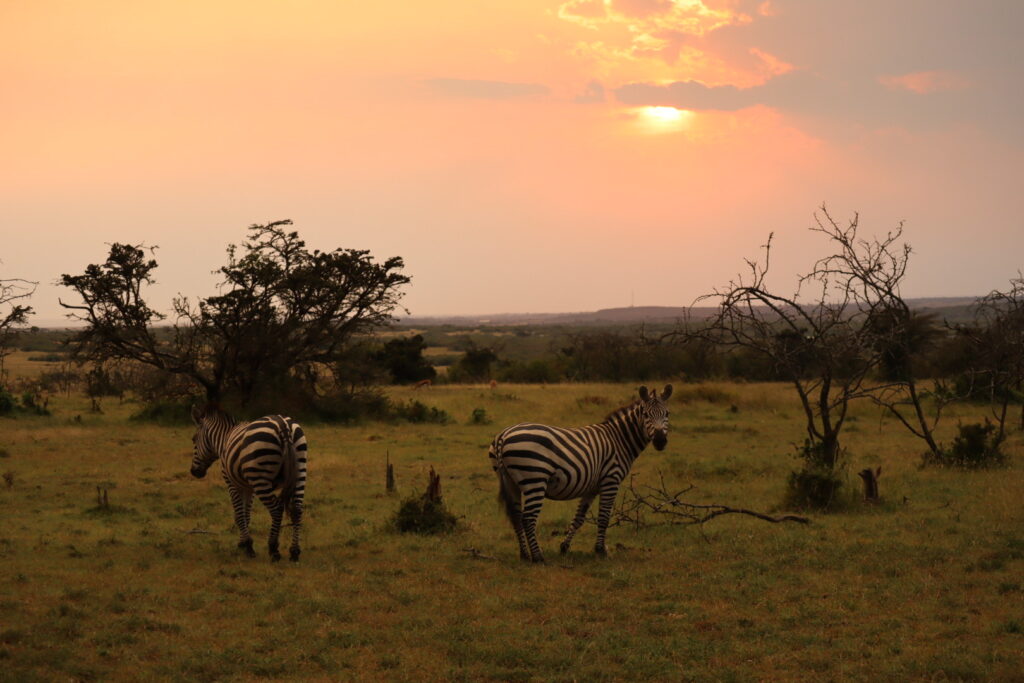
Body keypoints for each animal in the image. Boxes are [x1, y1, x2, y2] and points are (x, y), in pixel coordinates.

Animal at [189, 405, 307, 561]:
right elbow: (246, 515)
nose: (194, 472)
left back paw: (273, 549)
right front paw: (242, 543)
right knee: (297, 509)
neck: (224, 440)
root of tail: (283, 424)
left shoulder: (232, 483)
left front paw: (248, 546)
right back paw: (294, 551)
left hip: (261, 477)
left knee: (276, 509)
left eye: (194, 440)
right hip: (300, 471)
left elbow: (239, 515)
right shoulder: (248, 487)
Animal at [487, 382, 671, 565]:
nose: (660, 441)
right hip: (535, 480)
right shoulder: (611, 480)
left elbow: (579, 518)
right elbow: (604, 517)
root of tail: (503, 436)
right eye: (646, 414)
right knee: (528, 518)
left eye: (667, 414)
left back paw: (524, 555)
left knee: (517, 517)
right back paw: (538, 557)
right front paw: (600, 551)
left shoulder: (592, 487)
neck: (619, 440)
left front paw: (564, 547)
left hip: (511, 482)